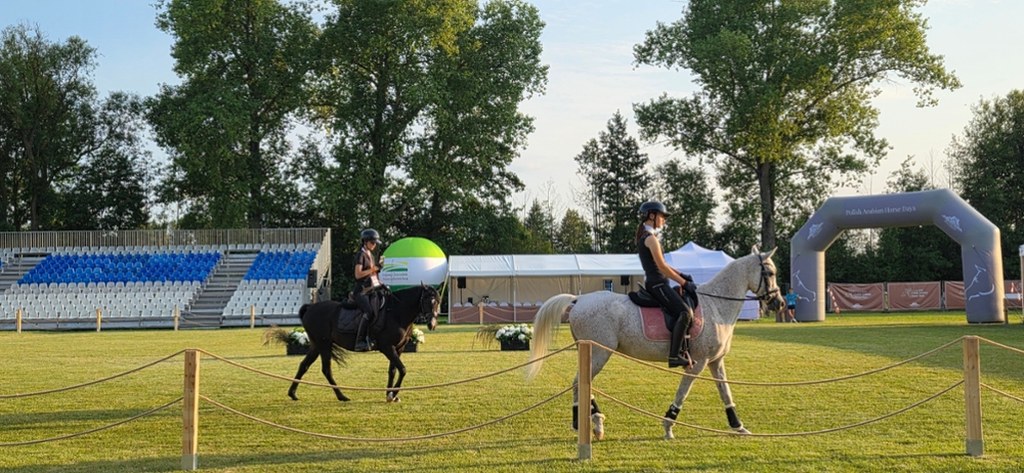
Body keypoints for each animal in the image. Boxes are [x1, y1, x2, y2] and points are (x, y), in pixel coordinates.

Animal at [287, 284, 440, 403]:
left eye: (438, 302)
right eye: (427, 300)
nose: (432, 324)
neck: (396, 313)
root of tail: (310, 307)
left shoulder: (399, 348)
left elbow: (393, 370)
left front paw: (389, 394)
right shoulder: (387, 347)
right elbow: (402, 369)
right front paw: (393, 394)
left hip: (317, 345)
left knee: (304, 365)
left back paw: (292, 393)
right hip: (324, 344)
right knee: (326, 370)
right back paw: (342, 396)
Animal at [527, 247, 785, 440]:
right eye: (770, 273)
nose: (779, 303)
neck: (716, 306)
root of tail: (579, 300)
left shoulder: (715, 361)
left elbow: (726, 392)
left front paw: (738, 426)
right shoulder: (698, 363)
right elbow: (683, 393)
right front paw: (668, 425)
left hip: (592, 352)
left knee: (582, 383)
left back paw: (592, 421)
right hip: (599, 353)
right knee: (580, 382)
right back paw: (590, 422)